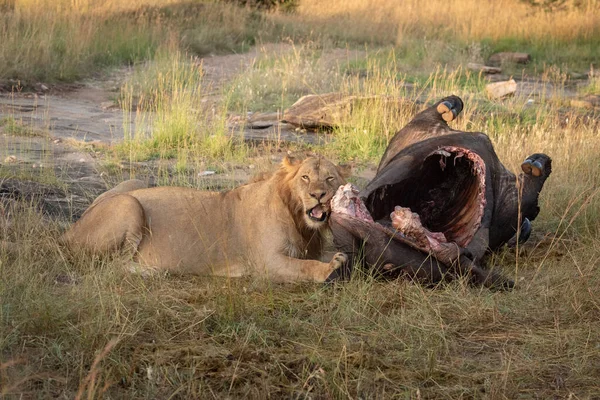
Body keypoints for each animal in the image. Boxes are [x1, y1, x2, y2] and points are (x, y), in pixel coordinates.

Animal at [61, 155, 350, 282]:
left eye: (329, 178)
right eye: (305, 177)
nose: (318, 195)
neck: (300, 220)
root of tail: (68, 231)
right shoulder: (265, 263)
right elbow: (306, 267)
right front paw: (329, 269)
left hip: (135, 184)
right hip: (128, 204)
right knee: (110, 266)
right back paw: (153, 271)